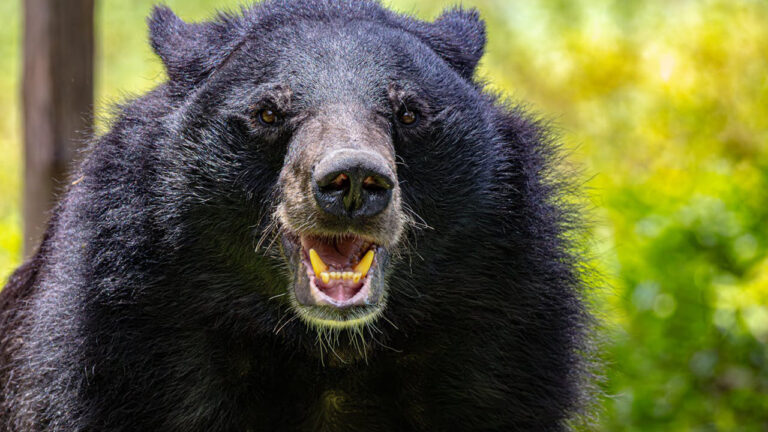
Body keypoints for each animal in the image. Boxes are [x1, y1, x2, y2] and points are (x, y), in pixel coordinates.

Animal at [0, 0, 593, 430]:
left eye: (408, 113)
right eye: (267, 112)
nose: (352, 181)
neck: (326, 350)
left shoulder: (498, 344)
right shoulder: (118, 349)